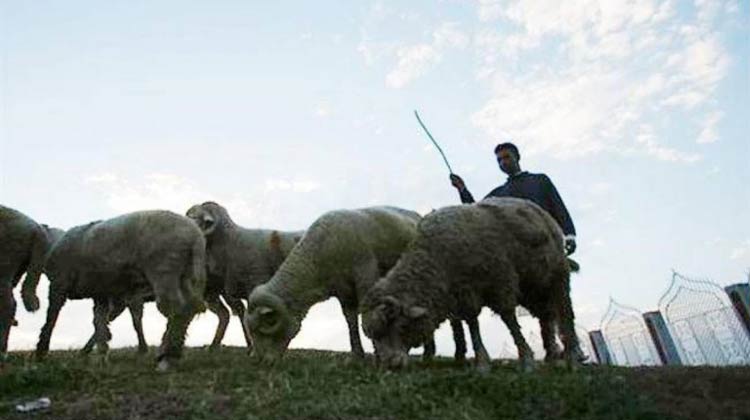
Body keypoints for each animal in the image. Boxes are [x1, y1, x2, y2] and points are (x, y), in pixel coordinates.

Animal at [25, 210, 207, 370]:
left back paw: (167, 358)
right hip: (186, 276)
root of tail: (196, 237)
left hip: (164, 271)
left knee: (177, 310)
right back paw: (172, 353)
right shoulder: (100, 292)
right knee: (190, 309)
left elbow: (52, 317)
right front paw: (102, 355)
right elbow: (99, 320)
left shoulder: (59, 284)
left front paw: (41, 351)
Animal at [245, 206, 467, 362]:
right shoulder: (342, 290)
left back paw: (445, 353)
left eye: (264, 327)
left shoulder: (365, 274)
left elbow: (367, 314)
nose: (261, 361)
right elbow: (350, 320)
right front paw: (356, 355)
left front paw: (378, 352)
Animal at [361, 197, 579, 372]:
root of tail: (532, 205)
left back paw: (574, 356)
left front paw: (526, 360)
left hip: (558, 274)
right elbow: (472, 323)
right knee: (546, 316)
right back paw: (551, 356)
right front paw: (482, 363)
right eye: (373, 337)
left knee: (565, 311)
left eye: (396, 325)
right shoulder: (464, 294)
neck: (438, 259)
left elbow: (508, 319)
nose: (390, 366)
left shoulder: (501, 280)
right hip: (532, 287)